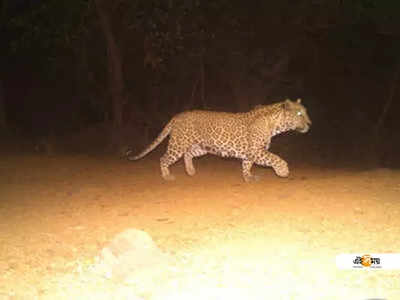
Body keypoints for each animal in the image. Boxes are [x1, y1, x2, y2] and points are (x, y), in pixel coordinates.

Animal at [128, 99, 312, 182]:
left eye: (305, 112)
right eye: (299, 114)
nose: (310, 123)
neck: (275, 125)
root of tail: (177, 116)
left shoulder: (251, 153)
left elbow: (246, 165)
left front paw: (248, 177)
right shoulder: (256, 151)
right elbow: (276, 158)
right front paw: (283, 171)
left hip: (200, 147)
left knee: (188, 155)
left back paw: (190, 171)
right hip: (178, 144)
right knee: (164, 158)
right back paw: (167, 176)